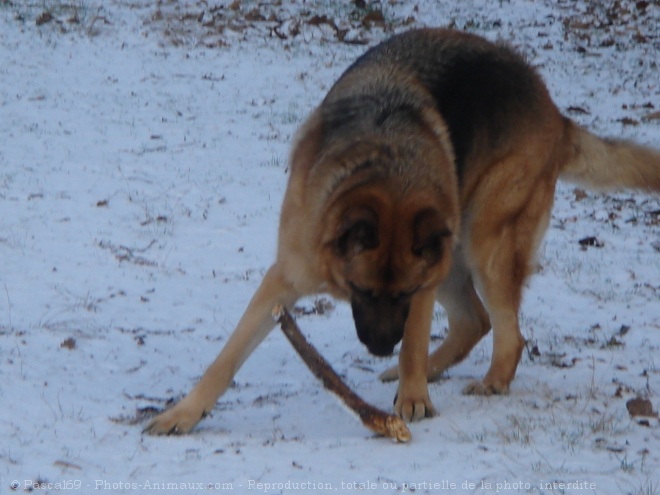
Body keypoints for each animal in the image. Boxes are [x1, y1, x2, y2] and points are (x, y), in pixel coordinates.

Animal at [146, 29, 660, 436]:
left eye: (401, 293)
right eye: (361, 290)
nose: (378, 347)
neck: (389, 171)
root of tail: (553, 110)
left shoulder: (422, 285)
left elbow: (415, 337)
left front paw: (414, 399)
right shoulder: (284, 279)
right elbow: (226, 358)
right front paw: (183, 414)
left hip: (481, 243)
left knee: (504, 331)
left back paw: (481, 380)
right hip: (454, 255)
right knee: (476, 321)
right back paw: (420, 371)